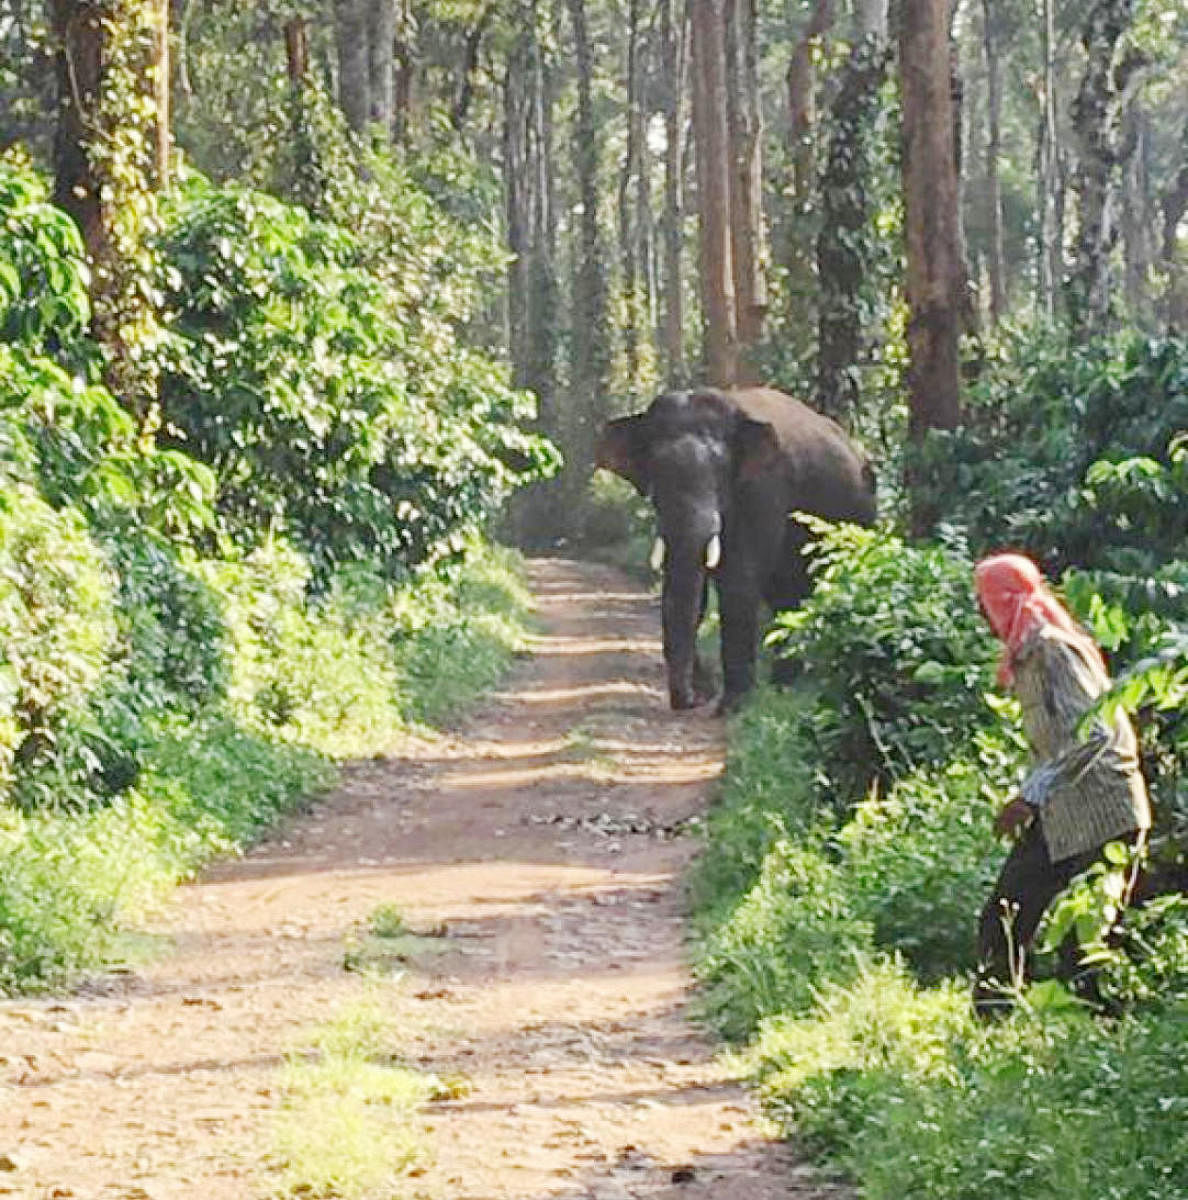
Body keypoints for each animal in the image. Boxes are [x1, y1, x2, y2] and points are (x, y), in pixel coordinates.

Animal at [600, 388, 878, 710]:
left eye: (720, 473)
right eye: (655, 472)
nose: (689, 702)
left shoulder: (764, 488)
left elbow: (738, 581)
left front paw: (733, 706)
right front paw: (707, 694)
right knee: (786, 598)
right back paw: (782, 689)